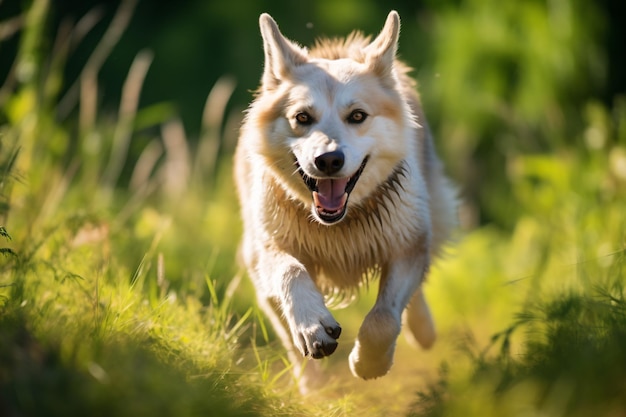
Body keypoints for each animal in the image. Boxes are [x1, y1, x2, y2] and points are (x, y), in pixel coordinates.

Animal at [233, 10, 454, 390]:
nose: (329, 160)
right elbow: (291, 275)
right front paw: (312, 333)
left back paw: (423, 330)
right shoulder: (265, 252)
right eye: (302, 118)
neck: (338, 226)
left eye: (358, 116)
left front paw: (369, 362)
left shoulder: (406, 244)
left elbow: (384, 316)